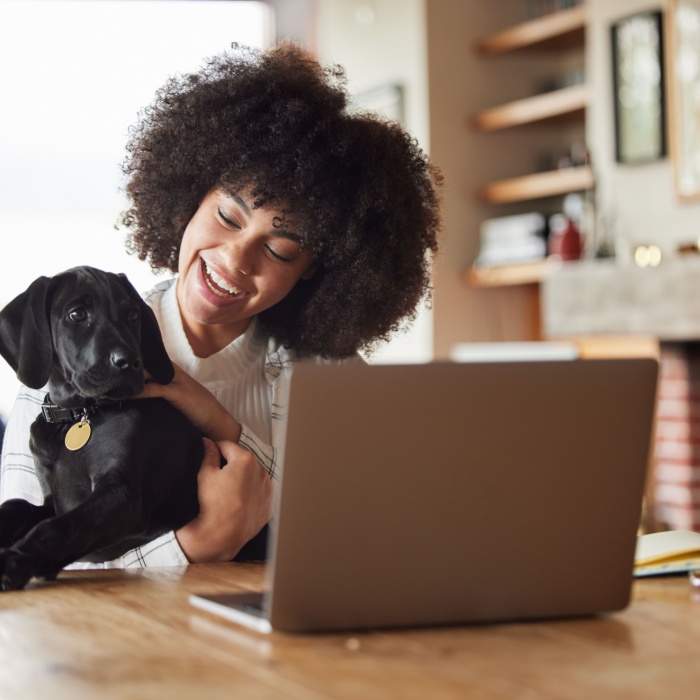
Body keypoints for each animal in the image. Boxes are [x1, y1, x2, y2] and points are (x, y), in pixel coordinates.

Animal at [0, 268, 202, 592]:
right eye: (77, 314)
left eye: (133, 315)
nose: (130, 362)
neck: (77, 417)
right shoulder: (52, 501)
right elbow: (17, 505)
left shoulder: (121, 493)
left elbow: (61, 526)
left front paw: (16, 560)